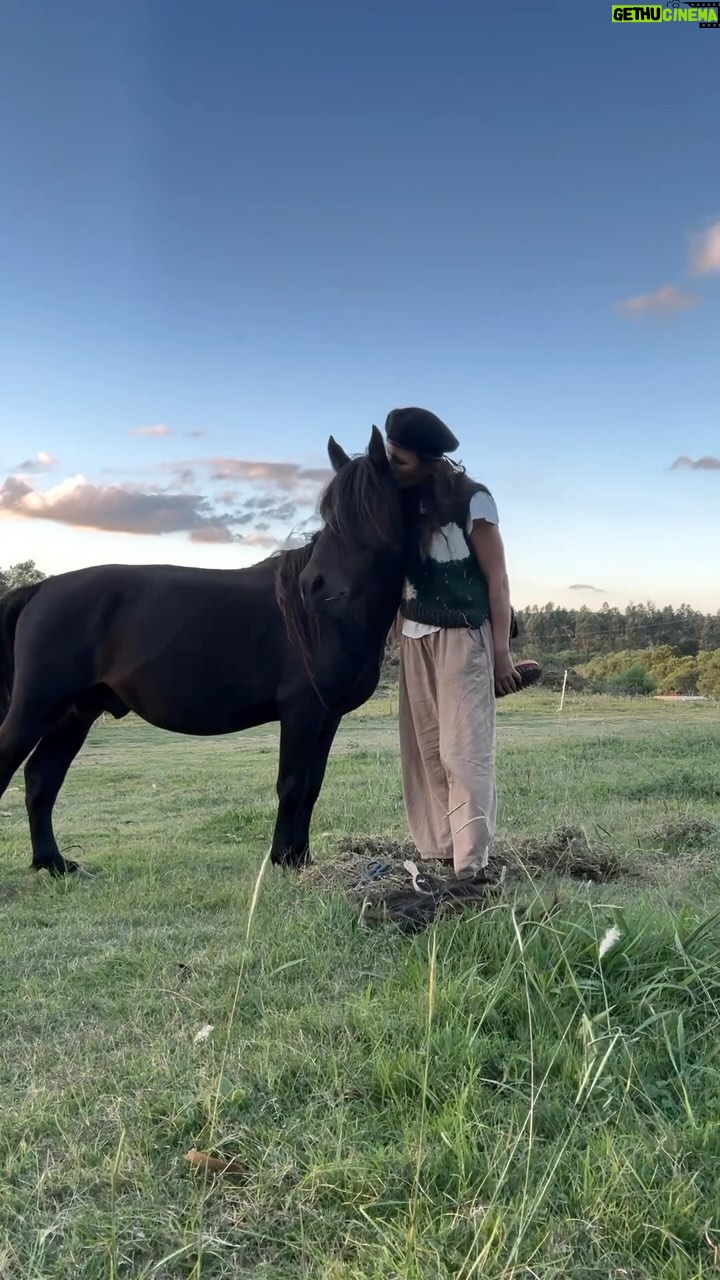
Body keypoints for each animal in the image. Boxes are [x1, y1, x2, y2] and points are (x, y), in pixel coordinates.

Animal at [0, 425, 408, 878]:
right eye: (328, 513)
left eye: (366, 510)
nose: (315, 586)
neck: (329, 619)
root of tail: (40, 589)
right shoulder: (301, 711)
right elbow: (292, 785)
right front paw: (283, 860)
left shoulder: (327, 717)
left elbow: (311, 786)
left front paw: (300, 859)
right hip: (34, 708)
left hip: (74, 714)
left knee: (41, 779)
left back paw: (53, 863)